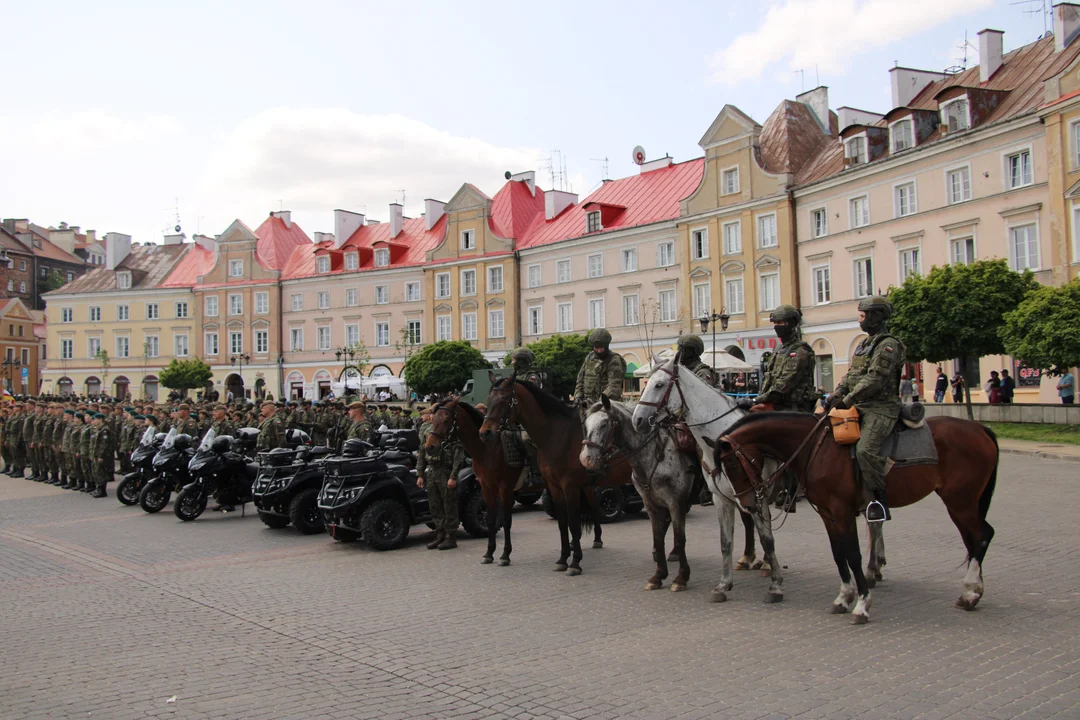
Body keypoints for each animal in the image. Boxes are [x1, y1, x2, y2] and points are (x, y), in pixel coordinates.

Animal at [481, 375, 630, 578]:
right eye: (489, 400)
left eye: (504, 399)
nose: (485, 432)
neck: (557, 435)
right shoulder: (554, 486)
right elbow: (562, 523)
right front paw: (563, 559)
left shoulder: (570, 486)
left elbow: (573, 523)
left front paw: (575, 563)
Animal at [630, 354, 781, 604]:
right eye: (645, 384)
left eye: (659, 385)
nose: (638, 420)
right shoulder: (723, 498)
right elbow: (725, 541)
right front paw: (723, 585)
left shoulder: (757, 497)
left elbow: (767, 538)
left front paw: (776, 585)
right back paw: (749, 559)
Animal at [704, 410, 997, 626]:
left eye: (732, 464)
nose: (746, 503)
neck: (816, 448)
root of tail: (980, 429)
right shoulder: (828, 514)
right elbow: (838, 553)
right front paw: (844, 598)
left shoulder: (843, 512)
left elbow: (853, 555)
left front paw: (861, 604)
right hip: (961, 503)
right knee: (974, 539)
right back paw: (972, 592)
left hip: (960, 501)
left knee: (982, 536)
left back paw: (970, 591)